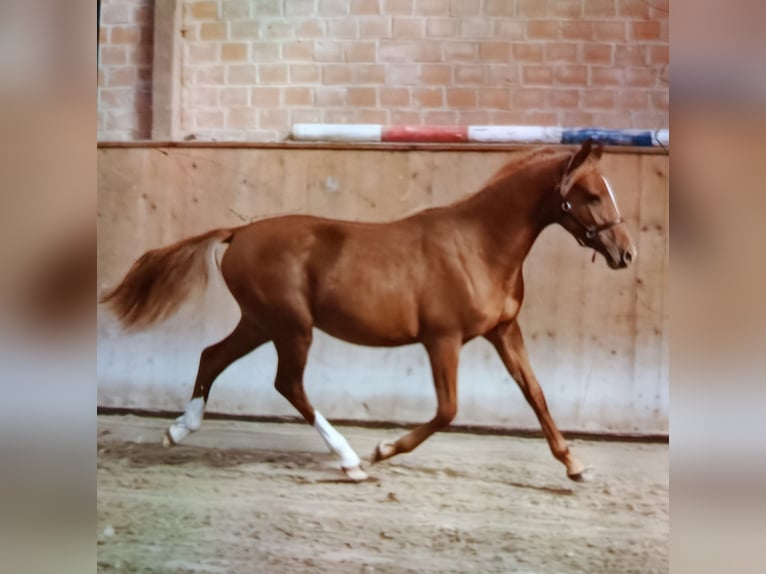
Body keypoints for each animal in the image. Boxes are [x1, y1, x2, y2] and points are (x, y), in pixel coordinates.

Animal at [101, 140, 635, 483]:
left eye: (609, 191)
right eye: (591, 194)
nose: (626, 254)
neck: (479, 246)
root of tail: (238, 234)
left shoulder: (505, 330)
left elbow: (536, 394)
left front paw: (574, 465)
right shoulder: (442, 340)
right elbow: (448, 410)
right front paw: (384, 450)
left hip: (260, 322)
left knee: (213, 356)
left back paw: (177, 431)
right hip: (291, 327)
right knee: (287, 385)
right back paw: (351, 461)